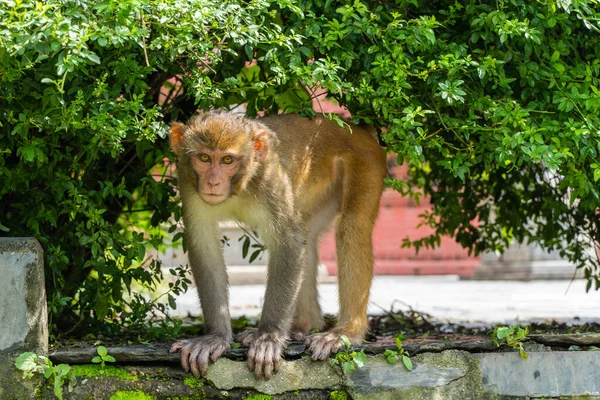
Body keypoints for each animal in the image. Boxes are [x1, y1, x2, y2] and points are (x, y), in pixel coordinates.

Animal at [169, 109, 386, 378]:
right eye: (204, 158)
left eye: (228, 160)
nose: (213, 182)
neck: (237, 189)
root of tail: (358, 130)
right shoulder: (188, 182)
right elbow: (205, 248)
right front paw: (214, 338)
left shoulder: (270, 179)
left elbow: (289, 242)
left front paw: (269, 337)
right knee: (308, 236)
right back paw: (304, 325)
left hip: (366, 162)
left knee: (351, 226)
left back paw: (346, 333)